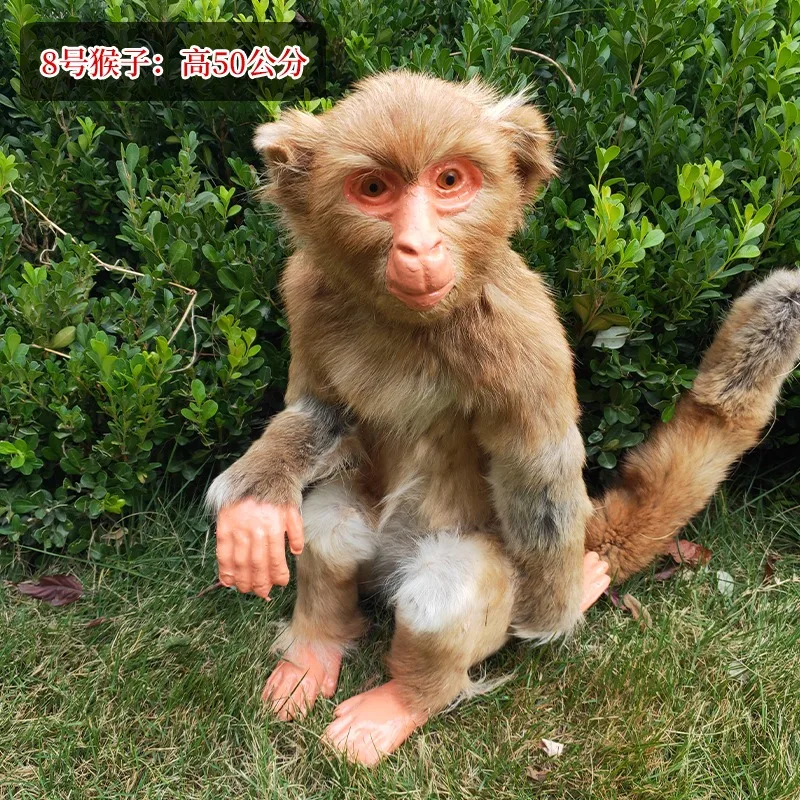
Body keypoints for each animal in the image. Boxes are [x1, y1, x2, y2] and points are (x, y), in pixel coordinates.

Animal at [207, 71, 800, 766]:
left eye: (449, 181)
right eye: (374, 189)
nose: (419, 246)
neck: (411, 325)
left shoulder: (518, 327)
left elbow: (537, 469)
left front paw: (555, 614)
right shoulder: (306, 289)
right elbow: (320, 409)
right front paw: (253, 506)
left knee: (440, 595)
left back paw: (403, 700)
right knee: (332, 530)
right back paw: (315, 652)